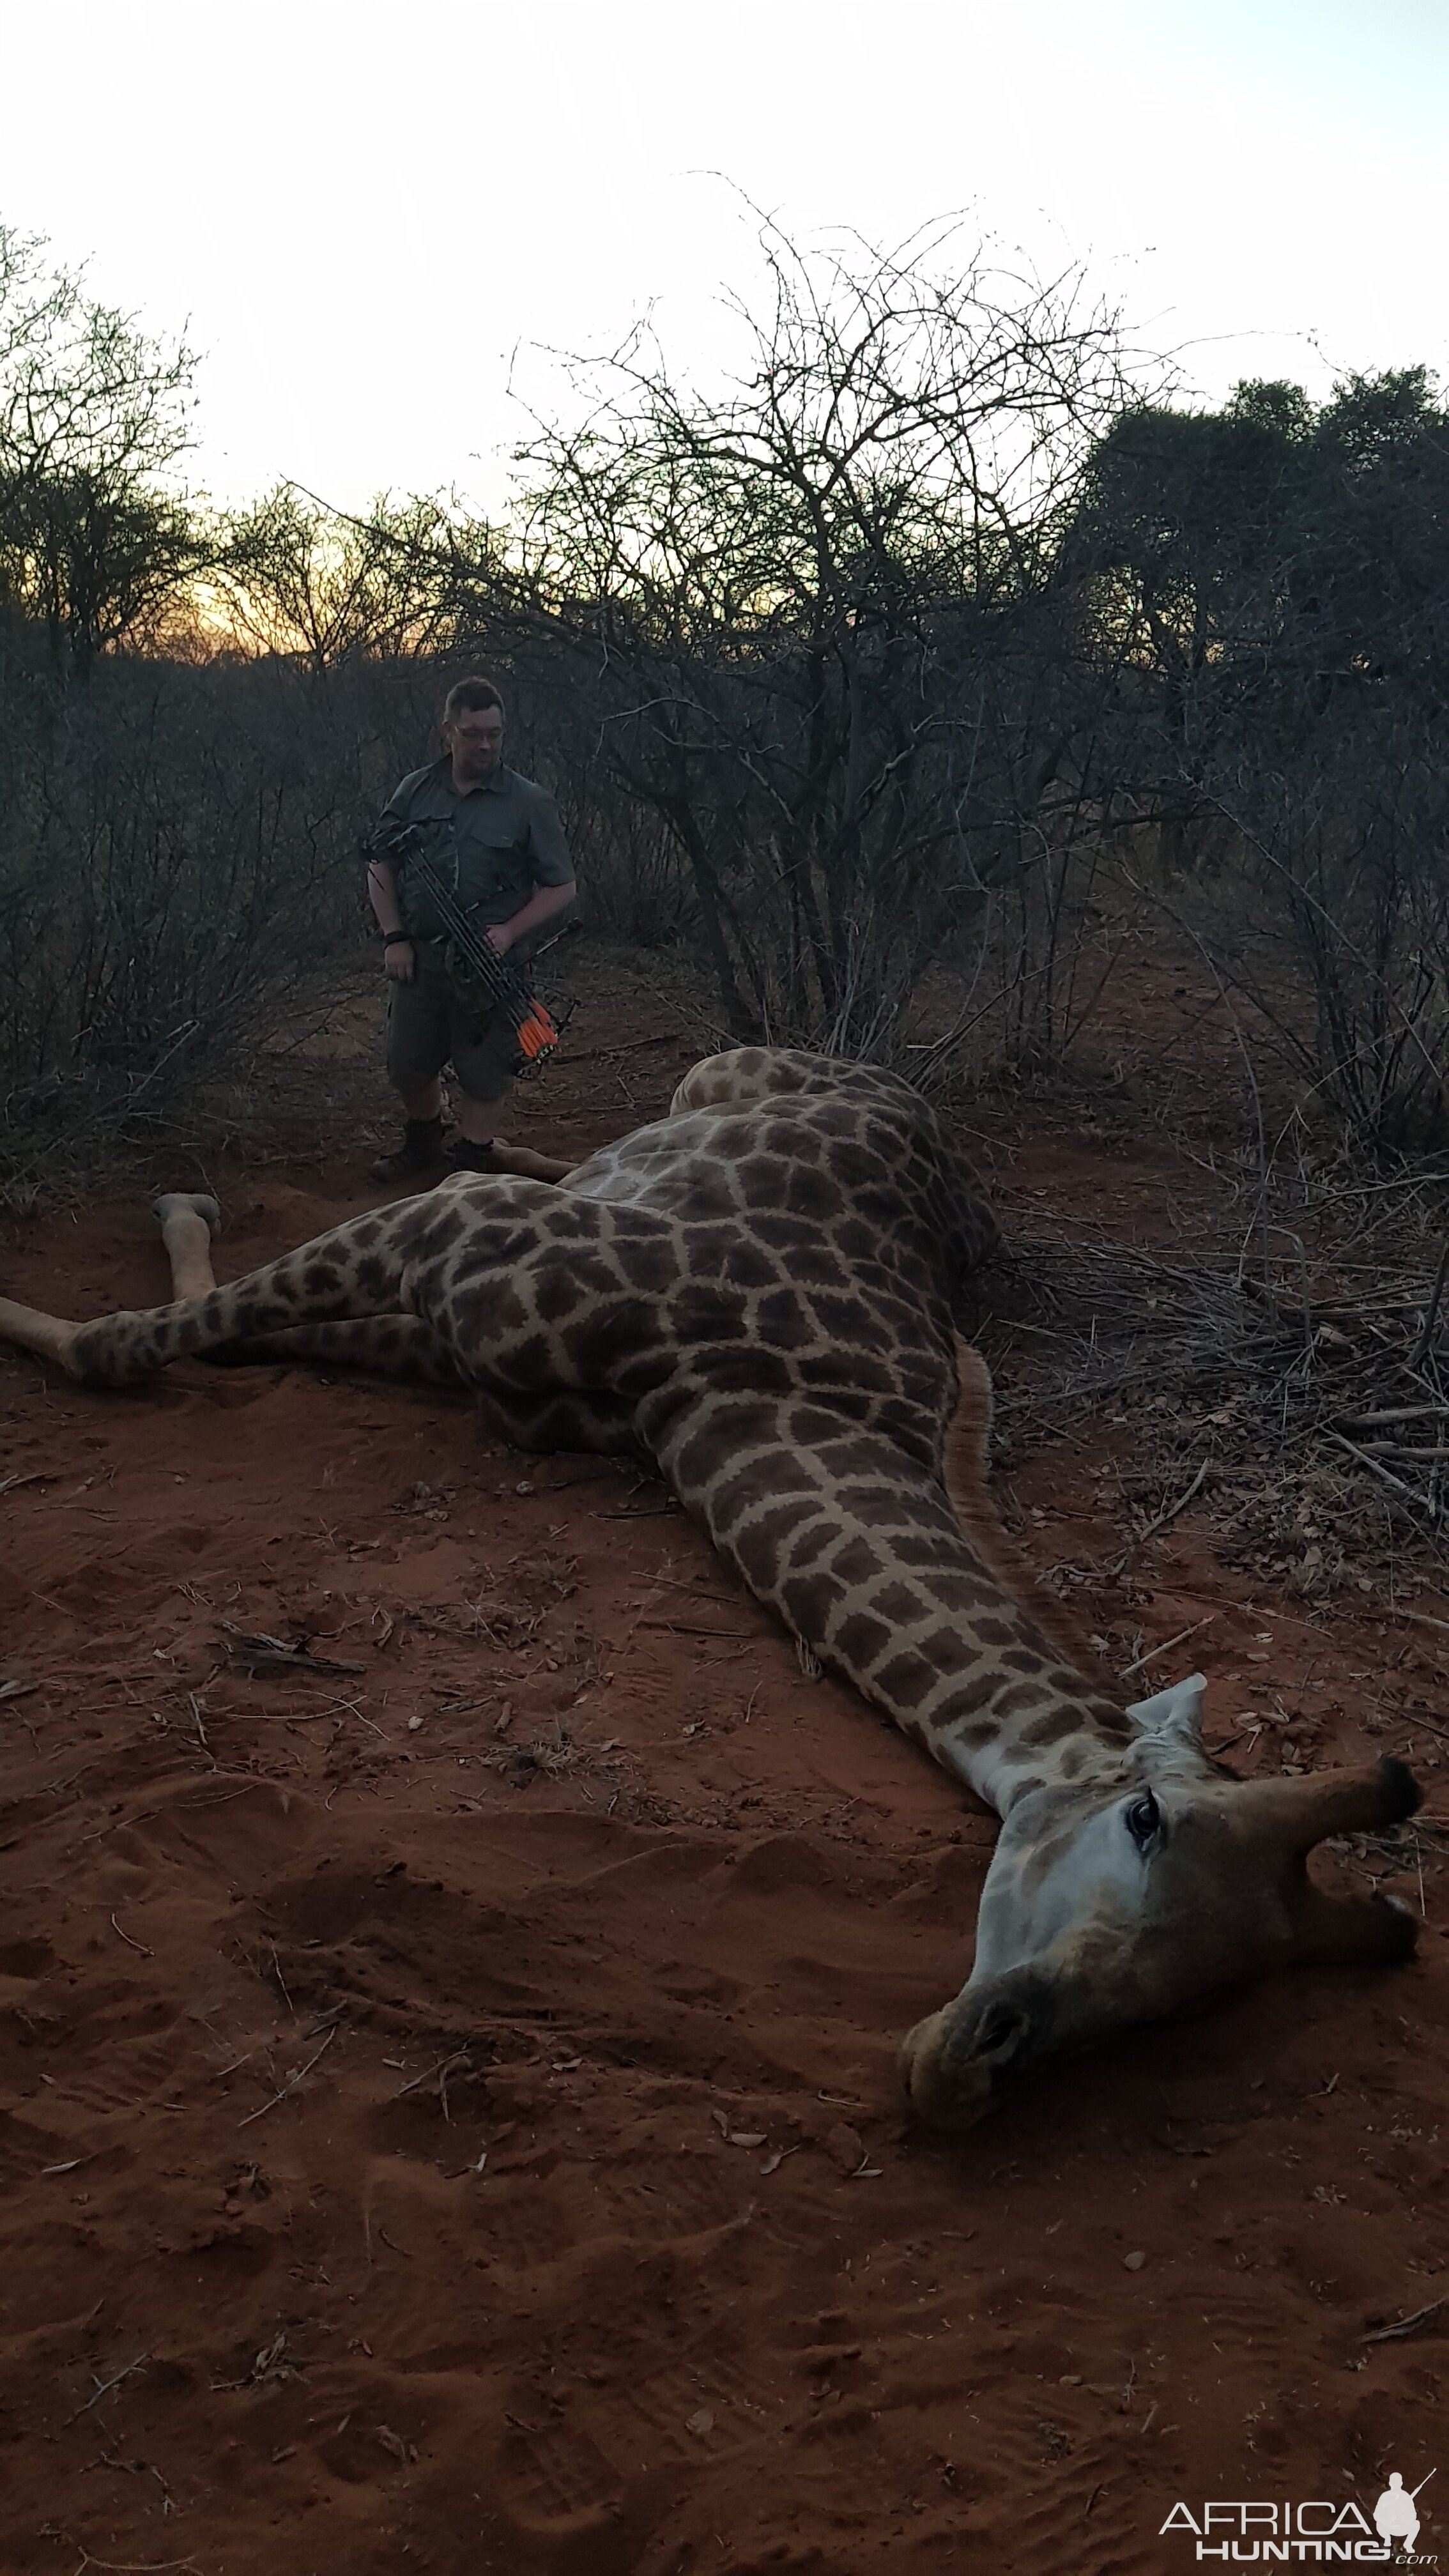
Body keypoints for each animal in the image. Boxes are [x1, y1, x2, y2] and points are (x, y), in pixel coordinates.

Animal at [0, 1045, 1413, 2133]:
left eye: (1201, 1996)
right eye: (1143, 1819)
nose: (970, 2064)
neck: (751, 1386)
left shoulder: (468, 1341)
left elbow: (190, 1342)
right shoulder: (459, 1247)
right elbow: (128, 1342)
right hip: (702, 1074)